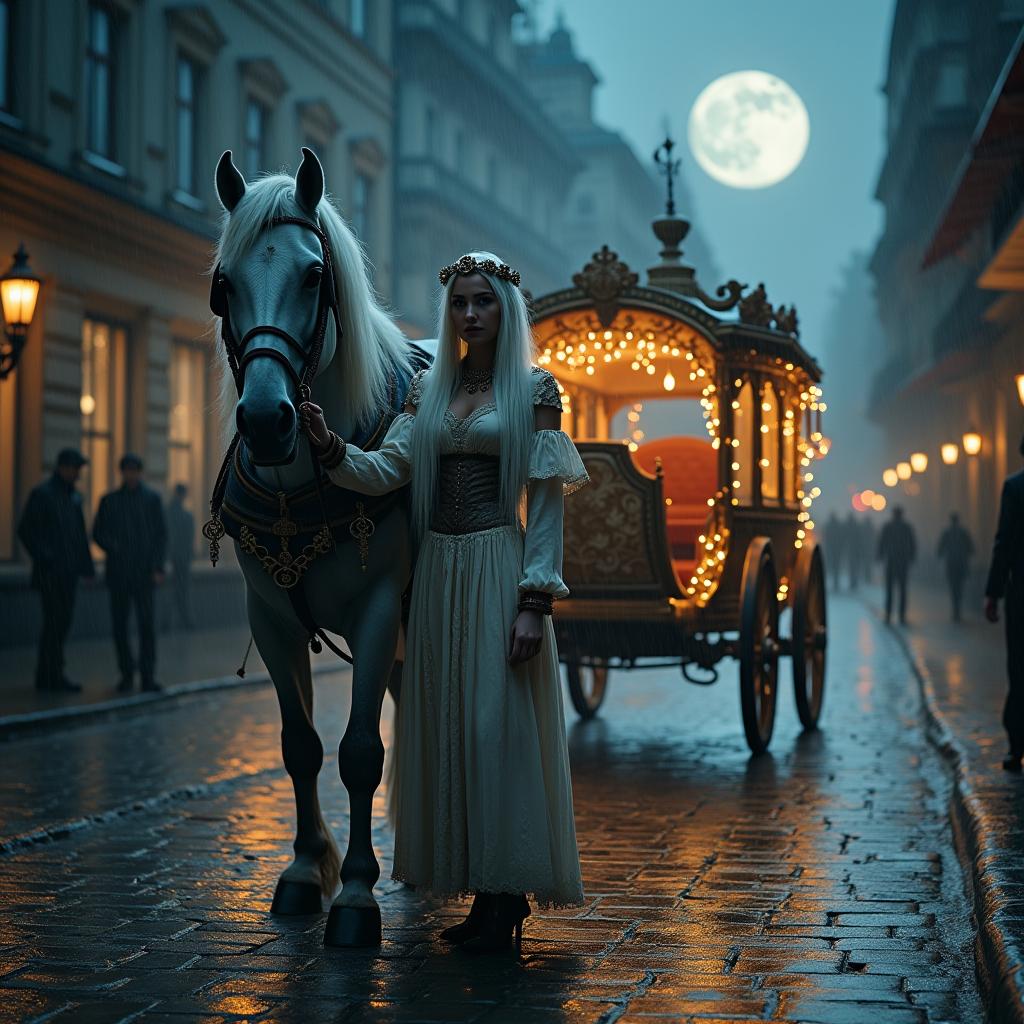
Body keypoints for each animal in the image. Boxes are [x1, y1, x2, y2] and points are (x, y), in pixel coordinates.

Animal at [209, 148, 417, 946]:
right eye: (224, 287)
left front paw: (356, 893)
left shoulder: (379, 610)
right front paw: (306, 869)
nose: (268, 420)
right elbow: (300, 746)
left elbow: (360, 753)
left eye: (312, 276)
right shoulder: (270, 616)